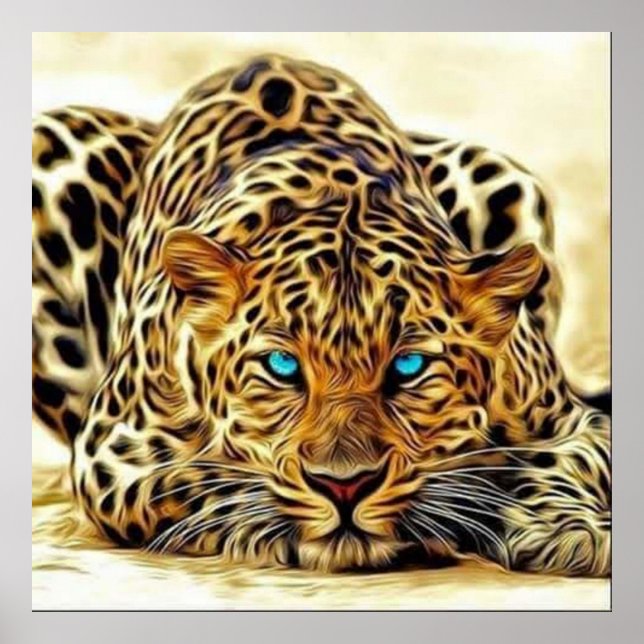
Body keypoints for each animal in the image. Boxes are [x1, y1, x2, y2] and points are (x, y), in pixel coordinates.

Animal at [32, 54, 610, 576]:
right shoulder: (115, 450)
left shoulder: (571, 421)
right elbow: (205, 481)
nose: (345, 485)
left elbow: (569, 461)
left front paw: (568, 529)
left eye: (409, 367)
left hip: (500, 172)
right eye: (282, 367)